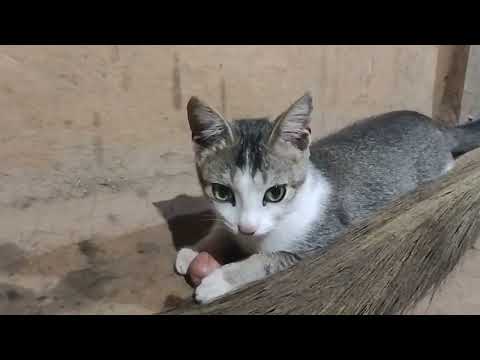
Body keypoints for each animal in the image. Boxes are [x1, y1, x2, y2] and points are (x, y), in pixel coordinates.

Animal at [174, 93, 480, 304]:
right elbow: (222, 228)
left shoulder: (326, 241)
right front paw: (193, 250)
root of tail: (437, 126)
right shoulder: (231, 222)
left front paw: (220, 280)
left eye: (275, 193)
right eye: (222, 192)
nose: (247, 228)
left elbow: (267, 259)